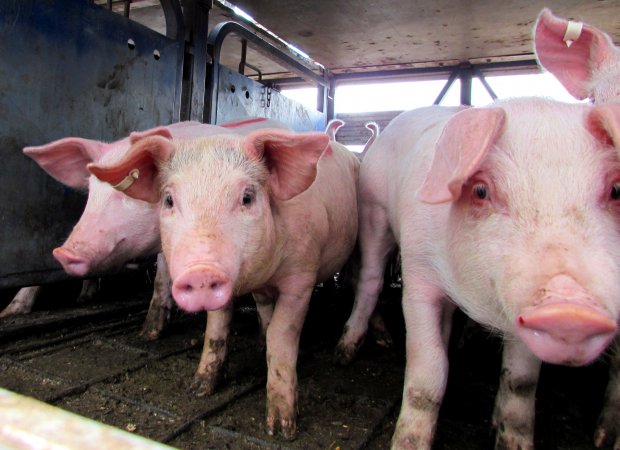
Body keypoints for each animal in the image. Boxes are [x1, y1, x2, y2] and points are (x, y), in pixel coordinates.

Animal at [86, 128, 358, 438]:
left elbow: (281, 333)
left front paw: (281, 429)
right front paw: (198, 389)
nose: (200, 271)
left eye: (247, 197)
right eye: (168, 200)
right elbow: (216, 327)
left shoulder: (302, 277)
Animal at [336, 99, 620, 450]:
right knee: (371, 281)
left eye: (616, 190)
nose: (571, 311)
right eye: (482, 190)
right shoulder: (419, 272)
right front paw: (408, 443)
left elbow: (520, 382)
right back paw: (347, 353)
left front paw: (512, 442)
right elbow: (428, 370)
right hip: (373, 211)